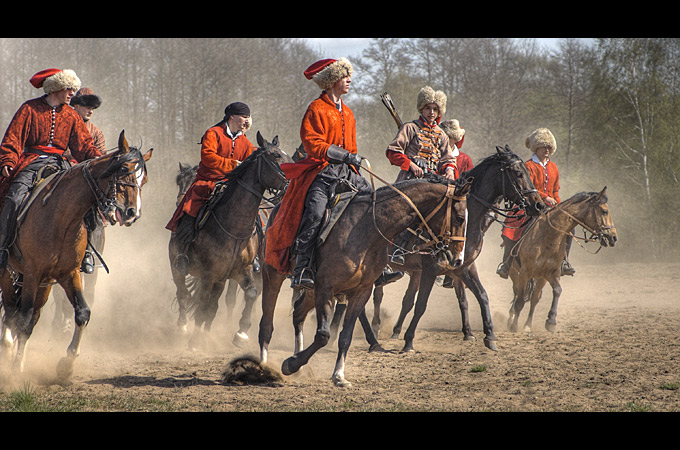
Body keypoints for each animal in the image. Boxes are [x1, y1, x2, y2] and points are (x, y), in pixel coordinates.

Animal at [0, 131, 151, 380]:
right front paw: (16, 369)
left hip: (43, 284)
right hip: (10, 273)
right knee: (12, 313)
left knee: (26, 315)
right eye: (123, 169)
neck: (61, 216)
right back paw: (8, 348)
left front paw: (66, 365)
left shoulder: (67, 274)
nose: (132, 213)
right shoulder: (32, 273)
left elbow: (82, 313)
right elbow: (24, 319)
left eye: (143, 180)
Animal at [169, 132, 290, 350]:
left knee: (213, 303)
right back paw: (183, 328)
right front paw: (195, 340)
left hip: (222, 279)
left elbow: (249, 295)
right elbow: (202, 304)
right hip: (178, 266)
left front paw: (240, 333)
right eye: (276, 155)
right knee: (183, 292)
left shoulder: (239, 271)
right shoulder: (208, 273)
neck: (234, 225)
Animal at [260, 172, 472, 386]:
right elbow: (323, 335)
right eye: (460, 217)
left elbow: (345, 337)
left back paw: (299, 364)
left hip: (311, 291)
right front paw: (290, 364)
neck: (366, 230)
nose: (457, 259)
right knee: (267, 324)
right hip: (273, 275)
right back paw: (263, 365)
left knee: (298, 313)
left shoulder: (360, 291)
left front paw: (338, 375)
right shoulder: (325, 289)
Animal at [366, 144, 548, 352]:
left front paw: (489, 336)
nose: (538, 205)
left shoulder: (463, 267)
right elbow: (421, 304)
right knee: (378, 294)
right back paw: (375, 328)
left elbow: (480, 296)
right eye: (518, 173)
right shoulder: (431, 268)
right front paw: (409, 341)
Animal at [508, 187, 620, 334]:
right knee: (516, 294)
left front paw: (551, 321)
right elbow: (520, 300)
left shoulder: (552, 273)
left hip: (539, 278)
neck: (548, 238)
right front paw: (514, 326)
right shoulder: (524, 272)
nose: (614, 237)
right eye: (604, 211)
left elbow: (557, 291)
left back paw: (528, 325)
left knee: (534, 299)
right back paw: (511, 318)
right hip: (515, 274)